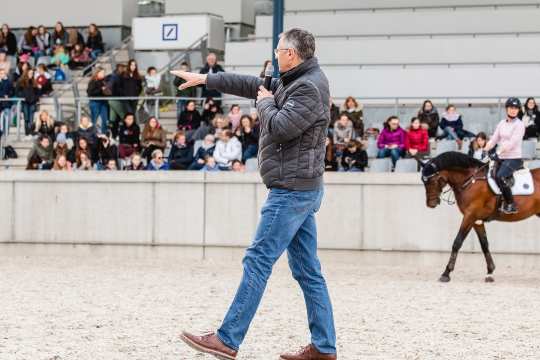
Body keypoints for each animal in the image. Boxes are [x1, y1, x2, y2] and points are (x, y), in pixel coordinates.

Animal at [422, 150, 540, 282]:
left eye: (431, 181)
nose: (430, 204)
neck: (470, 180)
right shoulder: (476, 219)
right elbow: (484, 244)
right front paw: (490, 272)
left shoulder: (469, 216)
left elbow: (457, 242)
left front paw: (446, 273)